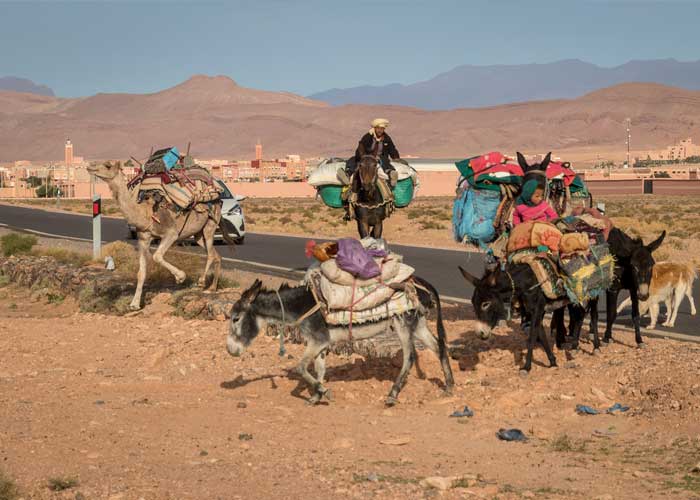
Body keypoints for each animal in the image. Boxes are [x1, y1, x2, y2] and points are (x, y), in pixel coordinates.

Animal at [87, 161, 235, 308]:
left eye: (107, 166)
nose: (90, 167)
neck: (146, 213)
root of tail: (218, 200)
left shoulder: (171, 233)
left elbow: (157, 256)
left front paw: (180, 277)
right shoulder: (143, 238)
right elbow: (141, 272)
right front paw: (134, 304)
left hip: (210, 224)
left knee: (210, 253)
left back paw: (201, 282)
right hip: (198, 234)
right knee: (216, 254)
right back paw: (212, 288)